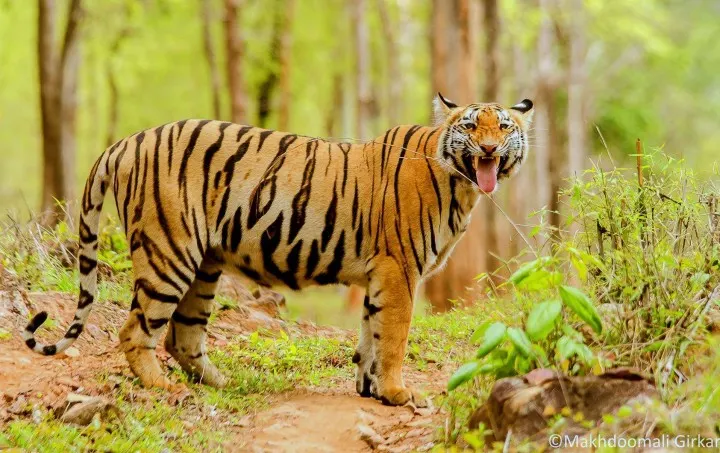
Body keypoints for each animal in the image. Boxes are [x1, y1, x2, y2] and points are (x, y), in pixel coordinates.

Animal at [23, 94, 533, 406]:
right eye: (471, 125)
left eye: (504, 126)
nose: (490, 149)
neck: (461, 185)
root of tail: (128, 140)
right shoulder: (398, 269)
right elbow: (395, 337)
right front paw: (397, 393)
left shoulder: (379, 276)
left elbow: (370, 335)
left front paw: (369, 389)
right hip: (169, 251)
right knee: (135, 330)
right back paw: (162, 385)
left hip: (203, 266)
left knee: (181, 336)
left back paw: (222, 385)